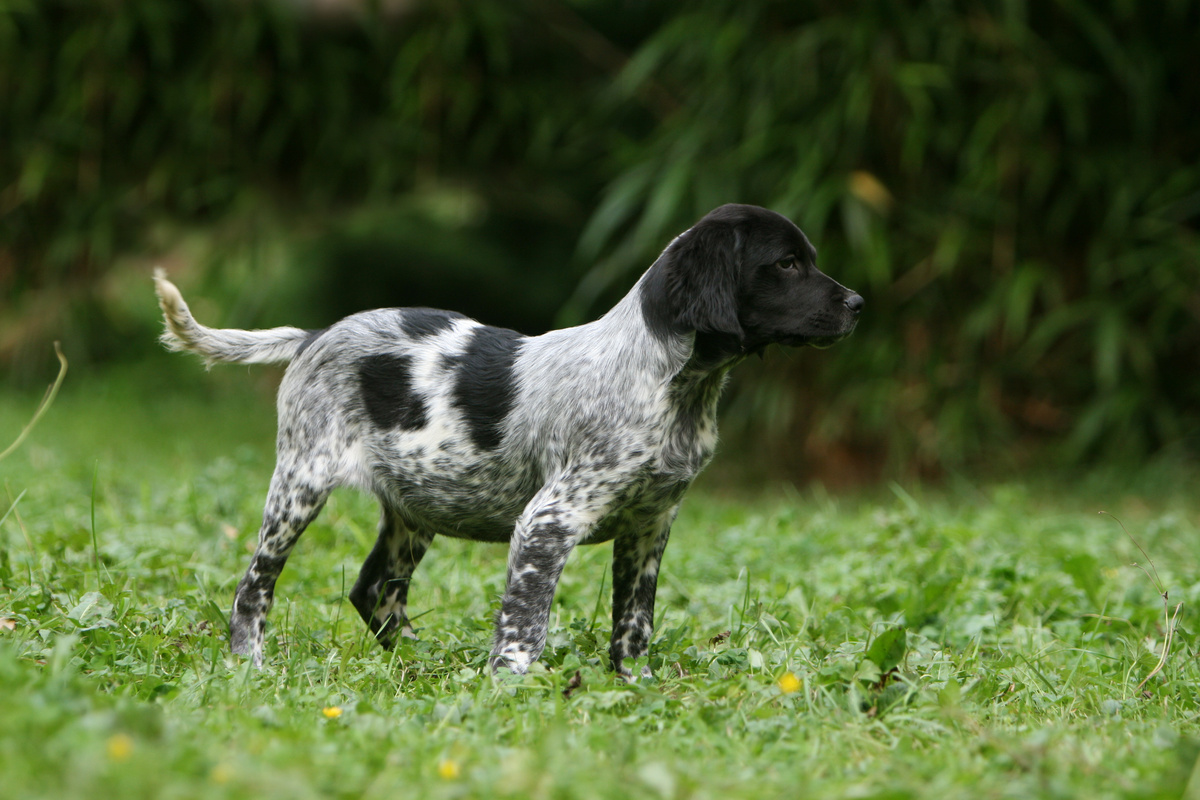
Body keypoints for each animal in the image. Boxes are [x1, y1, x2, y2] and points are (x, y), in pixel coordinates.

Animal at [157, 203, 864, 681]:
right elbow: (526, 621)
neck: (669, 383)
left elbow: (633, 625)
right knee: (255, 584)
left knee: (375, 588)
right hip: (301, 484)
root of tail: (315, 333)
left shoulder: (649, 525)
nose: (859, 303)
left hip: (416, 505)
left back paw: (421, 665)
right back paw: (250, 662)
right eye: (787, 264)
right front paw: (510, 688)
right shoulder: (549, 522)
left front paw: (633, 686)